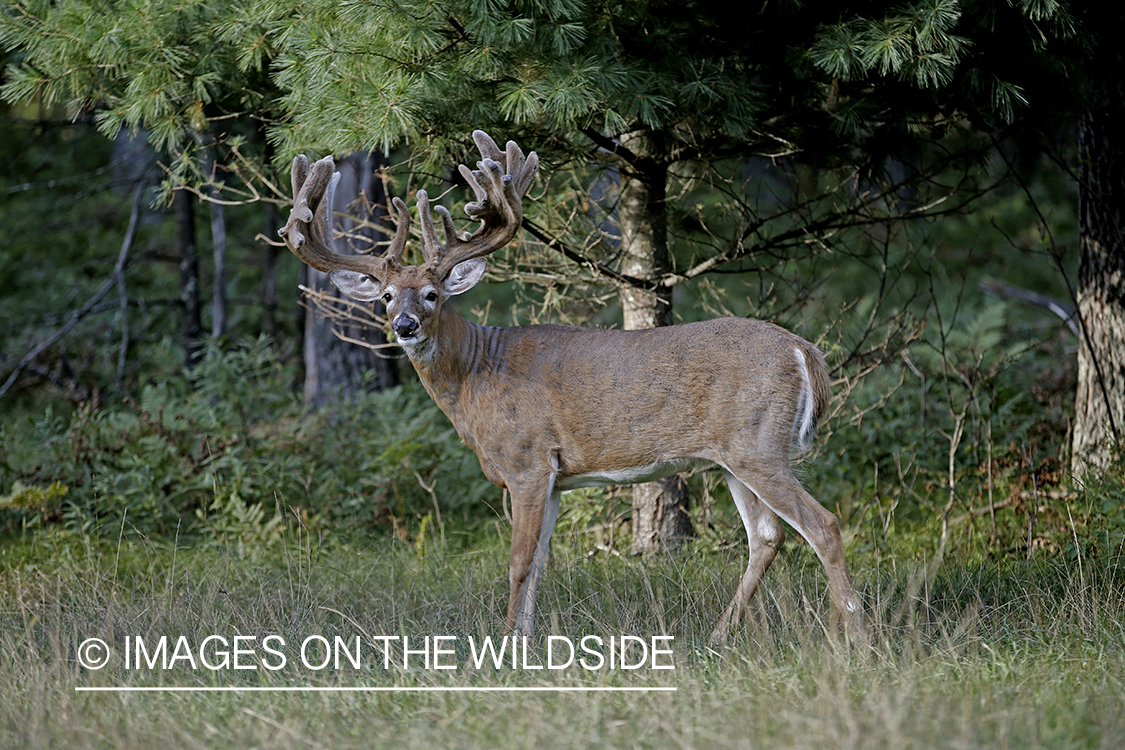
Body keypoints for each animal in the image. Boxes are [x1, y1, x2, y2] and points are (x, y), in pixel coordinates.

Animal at [279, 130, 859, 647]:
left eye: (431, 293)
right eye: (384, 296)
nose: (404, 325)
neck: (475, 374)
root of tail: (804, 352)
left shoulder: (527, 461)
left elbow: (518, 561)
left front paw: (503, 645)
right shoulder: (556, 478)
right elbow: (539, 562)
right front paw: (527, 640)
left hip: (757, 444)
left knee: (824, 524)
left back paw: (849, 636)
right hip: (731, 456)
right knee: (767, 536)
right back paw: (720, 636)